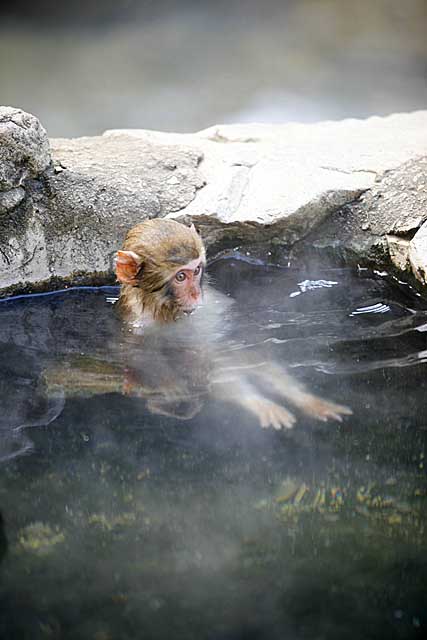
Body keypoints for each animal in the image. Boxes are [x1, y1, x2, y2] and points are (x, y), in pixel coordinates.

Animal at [113, 219, 352, 430]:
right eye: (180, 276)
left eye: (197, 270)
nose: (196, 294)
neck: (167, 310)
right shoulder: (141, 328)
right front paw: (258, 402)